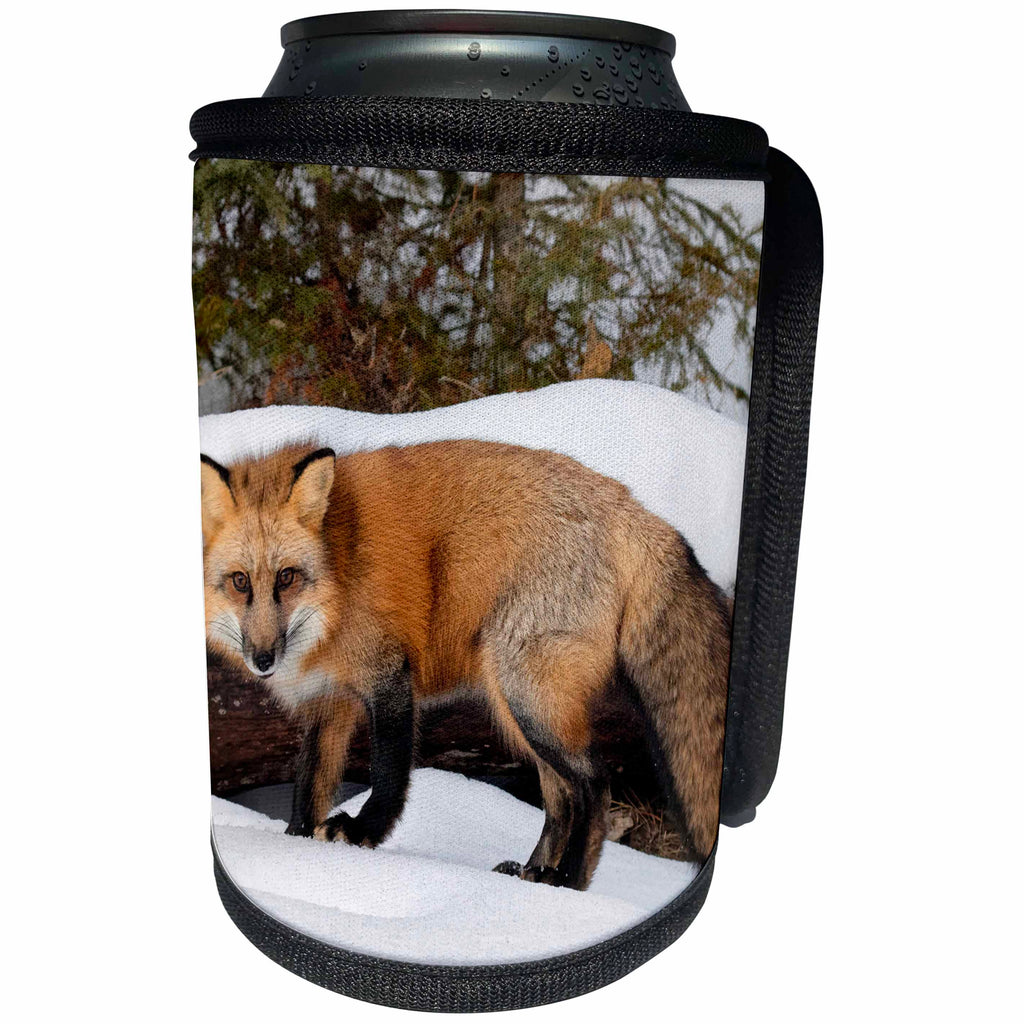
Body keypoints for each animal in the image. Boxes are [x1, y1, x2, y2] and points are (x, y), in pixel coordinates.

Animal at [200, 439, 732, 890]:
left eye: (287, 577)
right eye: (240, 582)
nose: (263, 659)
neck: (337, 576)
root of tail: (633, 508)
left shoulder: (389, 677)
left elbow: (388, 774)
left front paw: (361, 833)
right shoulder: (326, 703)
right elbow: (308, 785)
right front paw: (294, 847)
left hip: (525, 697)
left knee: (593, 785)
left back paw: (568, 882)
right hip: (519, 707)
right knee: (560, 801)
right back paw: (536, 875)